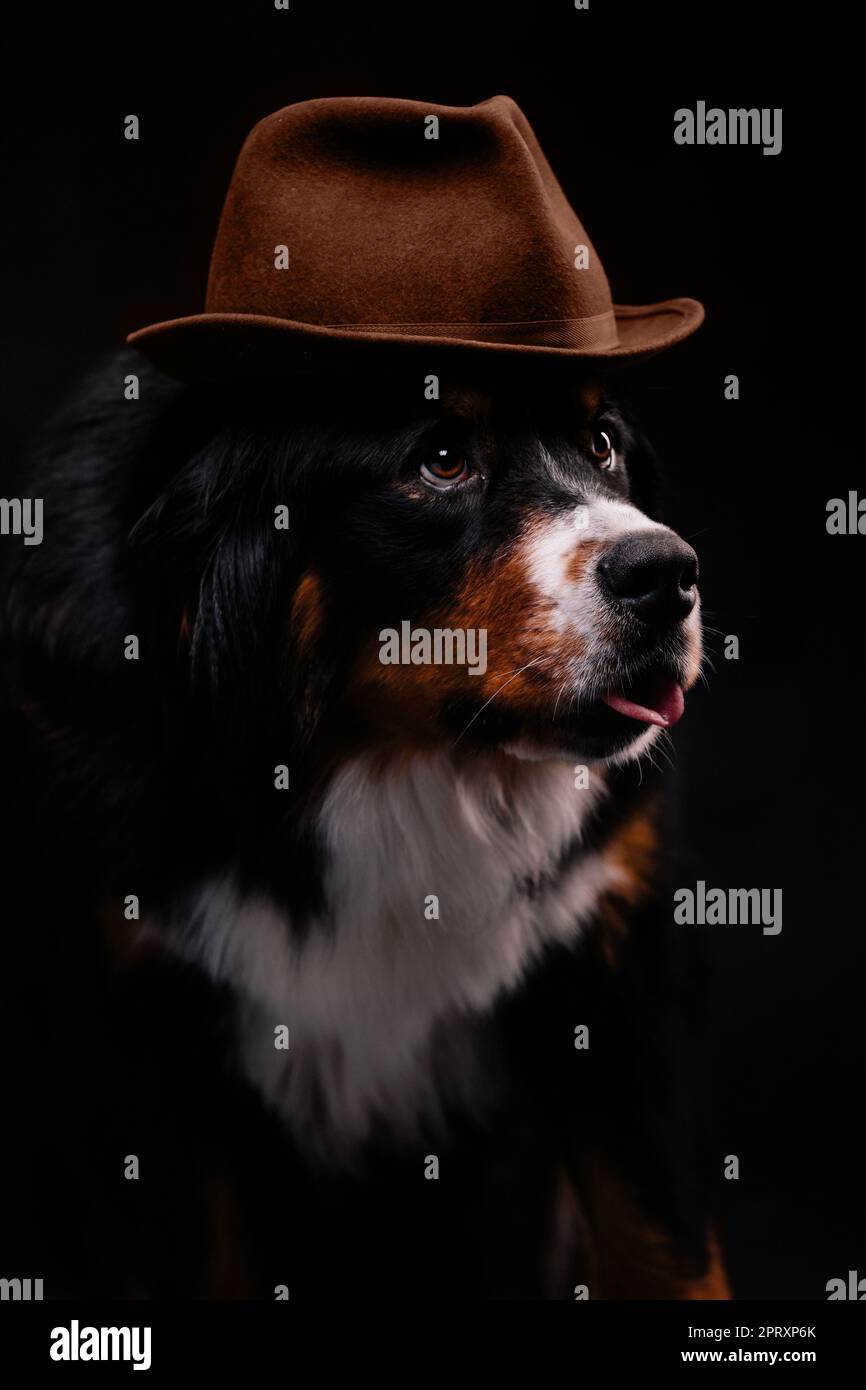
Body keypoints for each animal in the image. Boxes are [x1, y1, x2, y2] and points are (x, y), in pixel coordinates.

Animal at [0, 350, 733, 1301]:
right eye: (442, 459)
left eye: (602, 441)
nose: (667, 573)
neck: (387, 774)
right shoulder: (133, 1047)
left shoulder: (621, 980)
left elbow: (666, 1251)